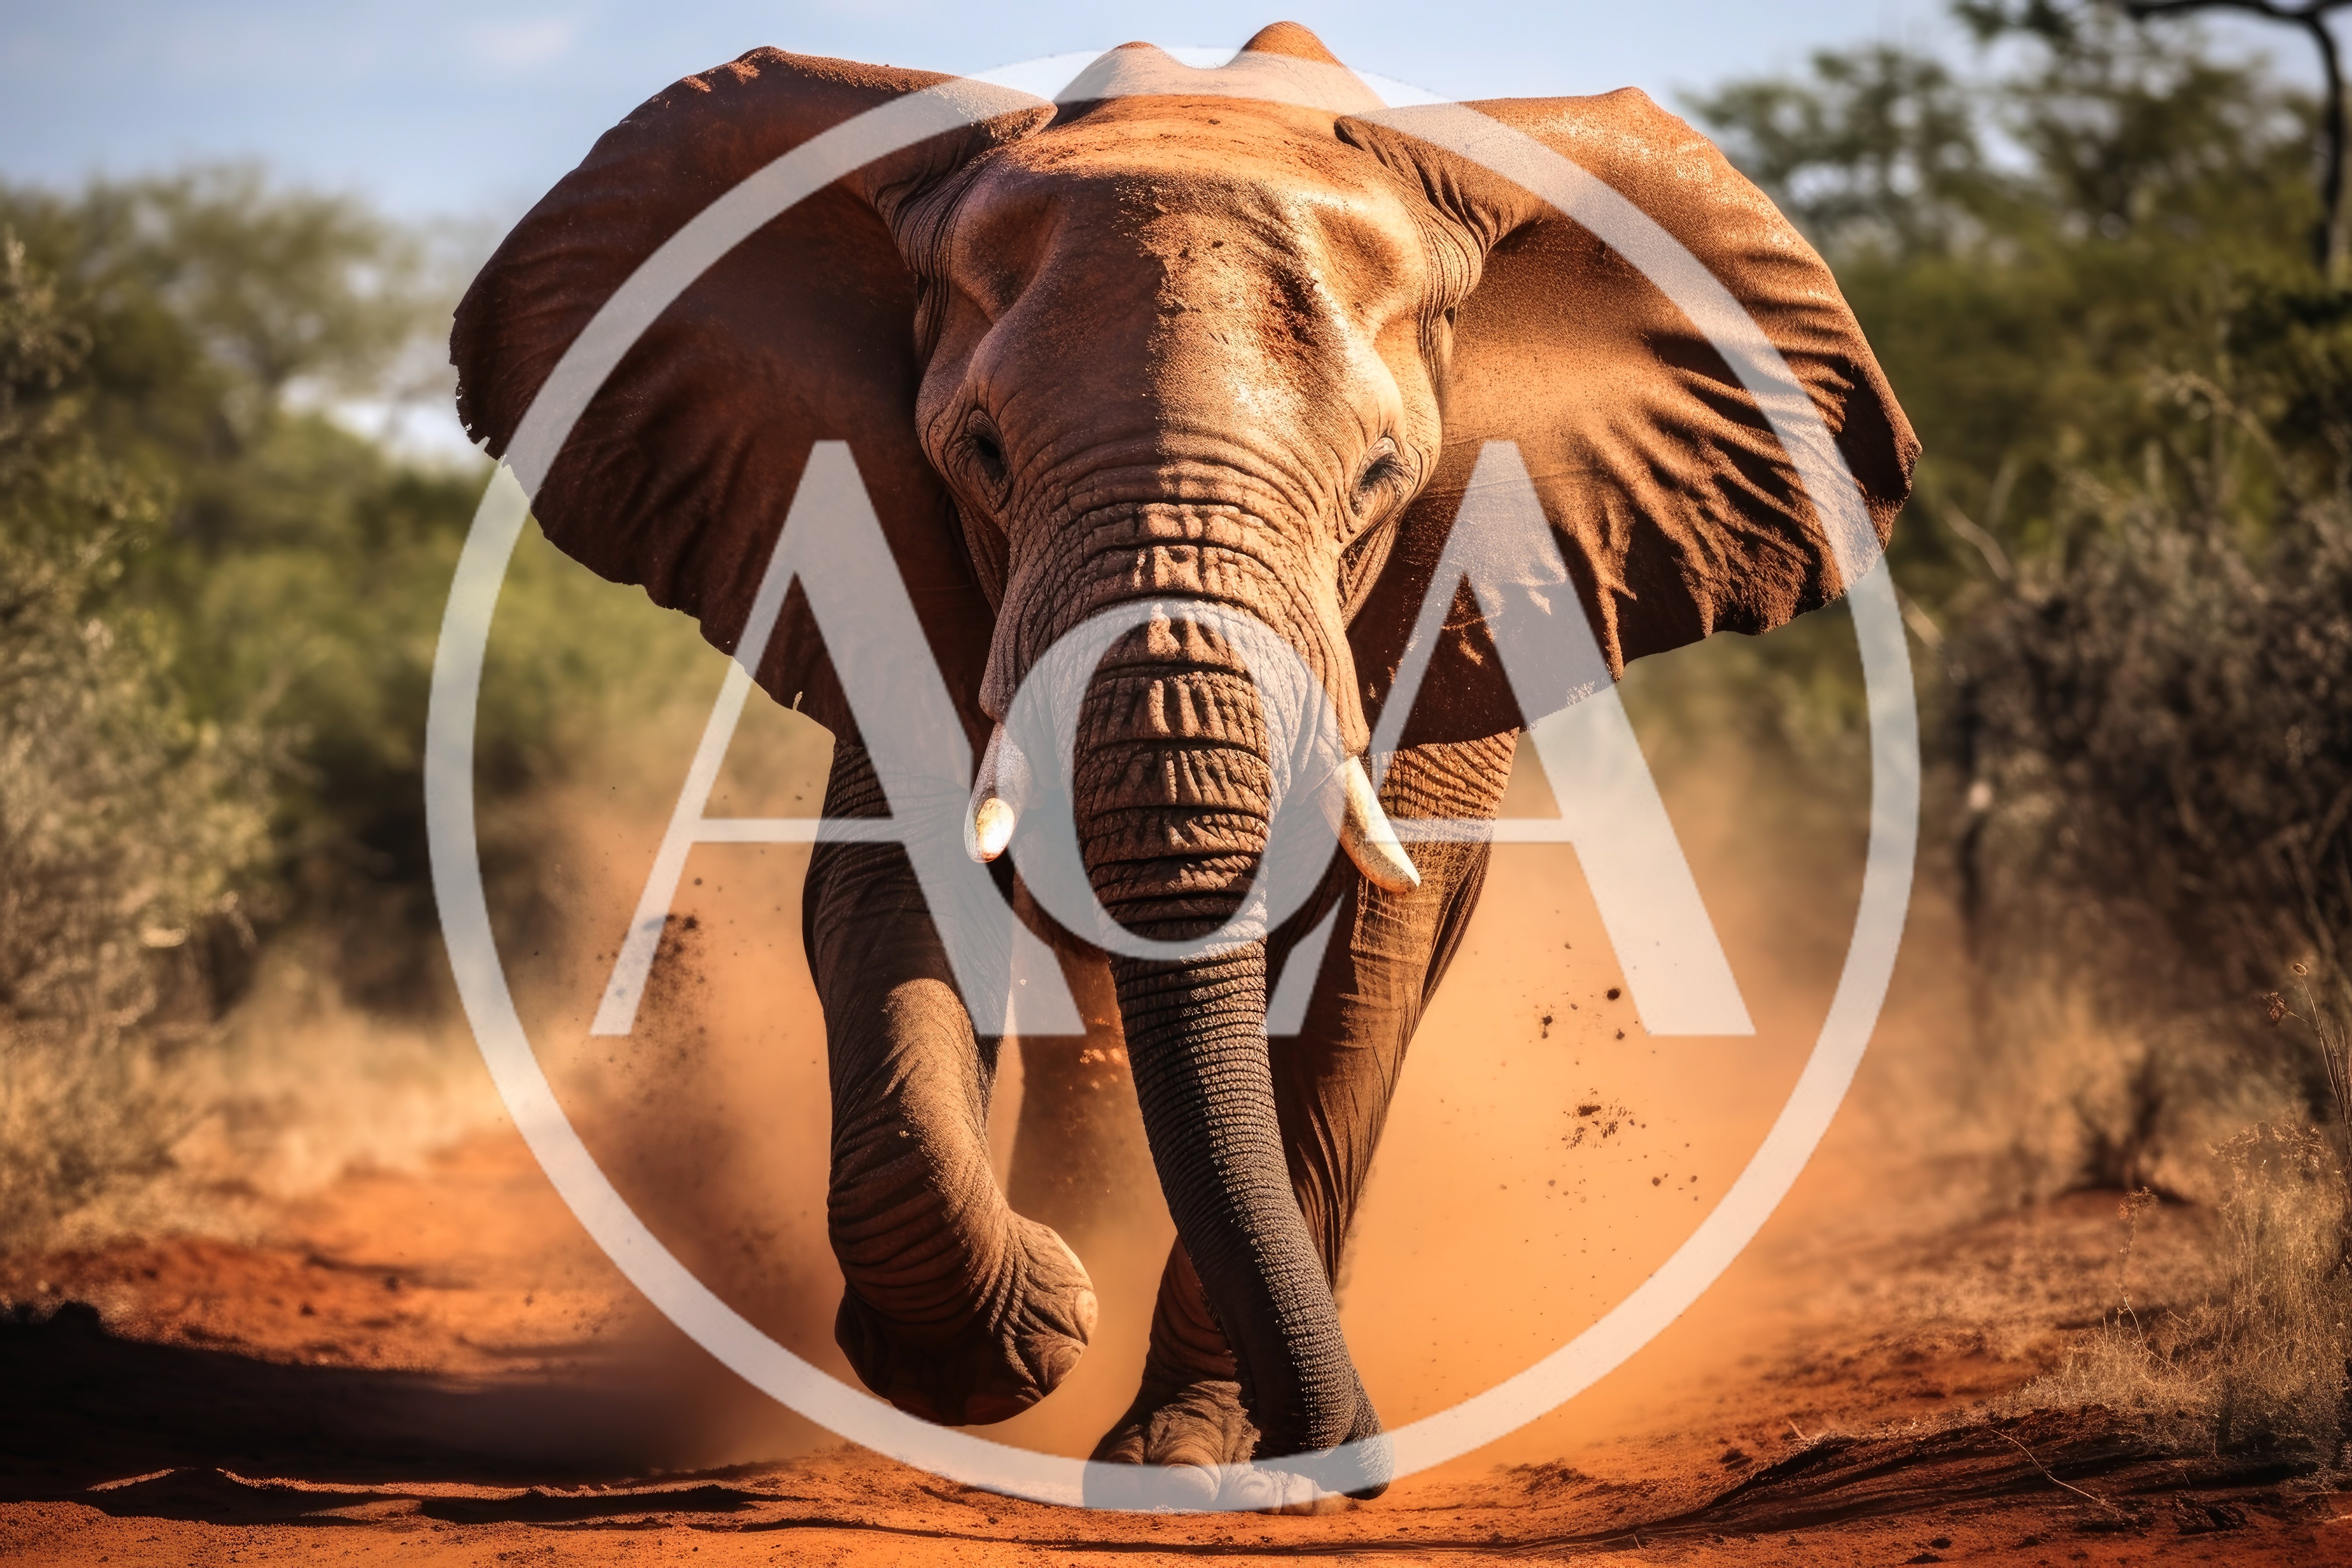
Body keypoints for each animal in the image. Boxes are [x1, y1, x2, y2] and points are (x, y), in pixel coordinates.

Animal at [449, 21, 1916, 1506]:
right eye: (981, 455)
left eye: (1383, 478)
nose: (1362, 1463)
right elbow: (893, 898)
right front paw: (1030, 1330)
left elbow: (1358, 965)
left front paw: (1188, 1462)